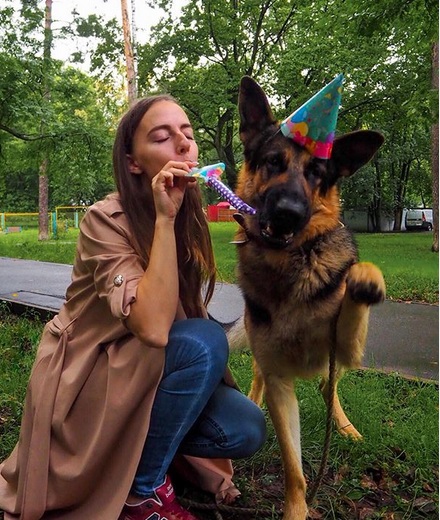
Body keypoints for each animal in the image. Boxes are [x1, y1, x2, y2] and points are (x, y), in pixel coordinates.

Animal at [229, 78, 386, 520]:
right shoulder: (280, 381)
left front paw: (364, 277)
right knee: (260, 377)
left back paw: (346, 427)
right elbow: (294, 470)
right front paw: (296, 509)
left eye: (317, 172)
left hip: (335, 367)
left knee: (329, 389)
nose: (288, 213)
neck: (290, 265)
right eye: (272, 162)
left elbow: (352, 299)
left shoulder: (345, 348)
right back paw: (253, 399)